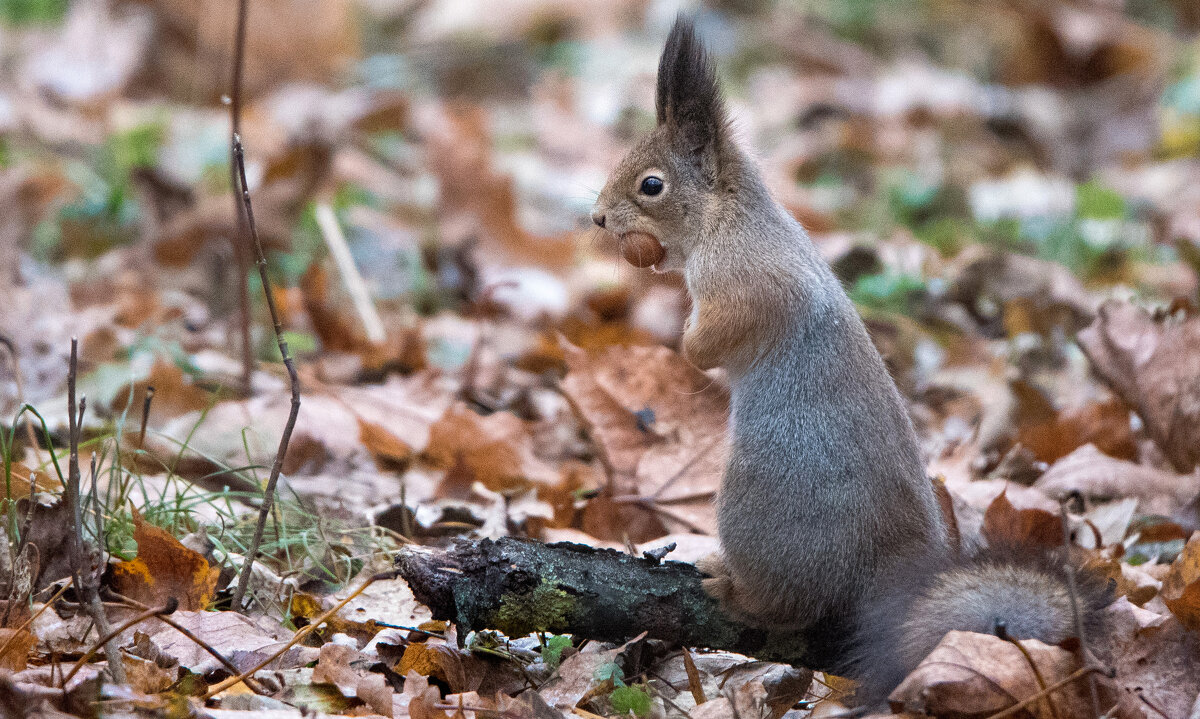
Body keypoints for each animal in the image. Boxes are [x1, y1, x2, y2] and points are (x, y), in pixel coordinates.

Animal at [585, 18, 1108, 710]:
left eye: (652, 185)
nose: (596, 217)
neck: (726, 217)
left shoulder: (749, 281)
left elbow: (726, 331)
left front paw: (689, 347)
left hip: (761, 507)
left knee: (788, 606)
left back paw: (731, 588)